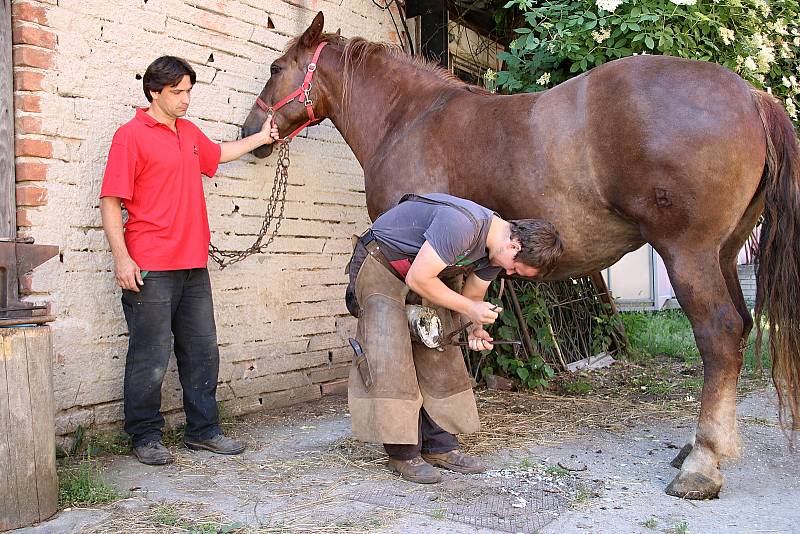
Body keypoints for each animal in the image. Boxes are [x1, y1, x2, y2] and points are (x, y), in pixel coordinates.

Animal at [242, 10, 800, 500]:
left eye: (274, 69)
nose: (251, 135)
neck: (408, 117)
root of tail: (751, 95)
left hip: (690, 254)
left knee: (720, 334)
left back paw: (701, 465)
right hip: (724, 254)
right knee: (741, 325)